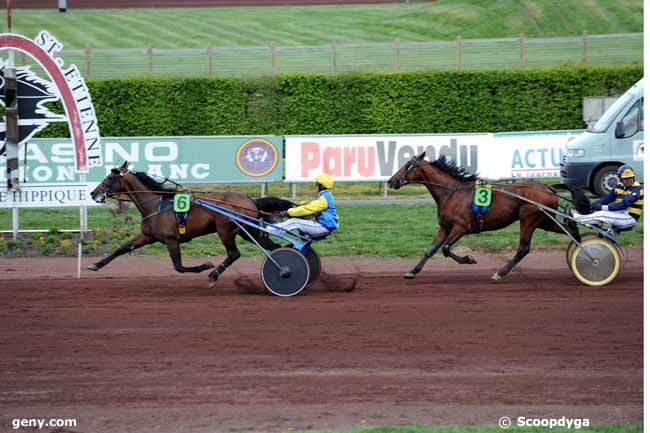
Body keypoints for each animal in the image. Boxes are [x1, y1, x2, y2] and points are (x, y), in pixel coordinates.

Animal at [88, 160, 292, 286]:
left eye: (109, 178)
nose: (92, 193)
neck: (155, 205)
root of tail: (252, 200)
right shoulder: (147, 236)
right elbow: (121, 249)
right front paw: (95, 265)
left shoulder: (171, 240)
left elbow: (178, 267)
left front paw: (205, 266)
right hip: (247, 231)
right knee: (275, 247)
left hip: (225, 230)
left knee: (234, 253)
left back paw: (213, 275)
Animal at [388, 152, 588, 280]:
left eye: (407, 166)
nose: (391, 181)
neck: (451, 192)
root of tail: (548, 188)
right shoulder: (445, 227)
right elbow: (430, 250)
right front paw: (412, 271)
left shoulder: (461, 227)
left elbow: (445, 249)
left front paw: (469, 259)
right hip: (544, 219)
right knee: (570, 230)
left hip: (529, 219)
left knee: (523, 248)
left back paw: (500, 273)